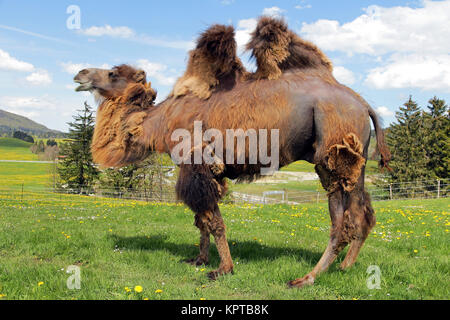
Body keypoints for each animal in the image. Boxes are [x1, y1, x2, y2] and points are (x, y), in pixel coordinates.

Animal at [74, 16, 390, 288]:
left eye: (113, 73)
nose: (80, 73)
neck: (159, 122)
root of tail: (364, 104)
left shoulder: (197, 162)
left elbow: (213, 221)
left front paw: (223, 268)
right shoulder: (203, 169)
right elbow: (201, 220)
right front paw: (199, 259)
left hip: (333, 153)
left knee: (343, 221)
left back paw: (307, 277)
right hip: (351, 163)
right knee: (361, 214)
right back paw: (343, 267)